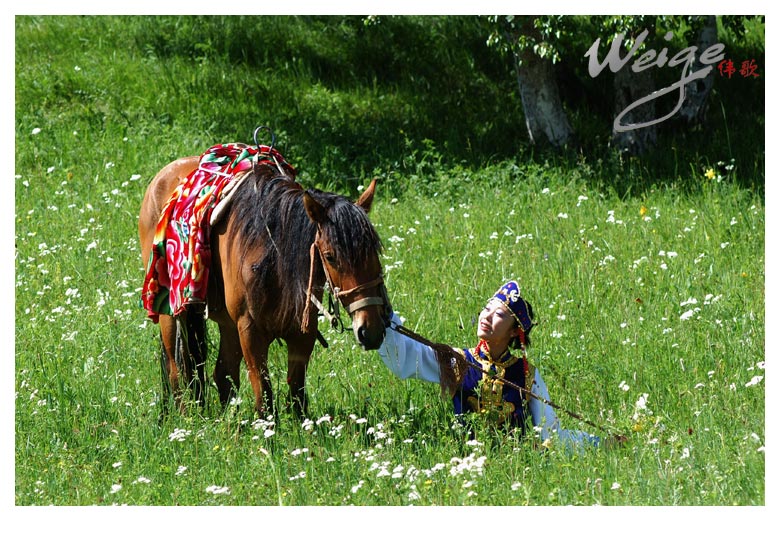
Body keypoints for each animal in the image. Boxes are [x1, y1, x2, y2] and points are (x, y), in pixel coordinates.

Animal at [140, 153, 390, 416]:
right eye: (330, 256)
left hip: (228, 324)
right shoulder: (250, 331)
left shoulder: (302, 332)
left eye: (374, 251)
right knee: (177, 372)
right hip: (171, 316)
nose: (370, 332)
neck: (273, 257)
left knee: (223, 374)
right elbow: (264, 396)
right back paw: (186, 419)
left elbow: (297, 395)